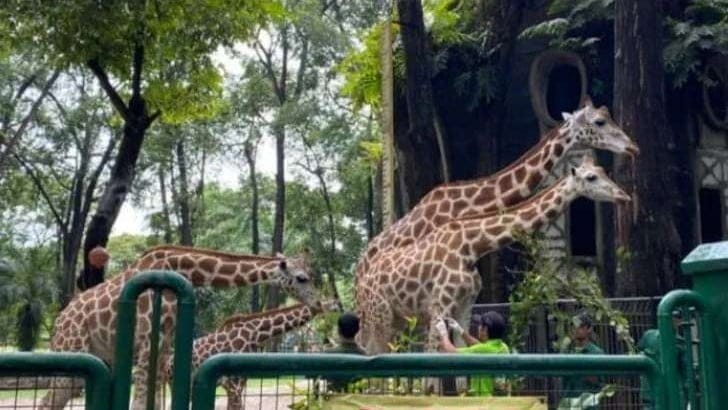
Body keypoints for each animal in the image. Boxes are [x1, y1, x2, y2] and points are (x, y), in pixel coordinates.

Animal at [40, 245, 322, 408]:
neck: (178, 269)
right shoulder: (146, 342)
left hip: (99, 358)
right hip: (71, 353)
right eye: (301, 278)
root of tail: (58, 323)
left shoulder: (164, 346)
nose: (319, 302)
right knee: (49, 402)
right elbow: (140, 404)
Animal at [169, 300, 340, 408]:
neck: (255, 334)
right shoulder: (233, 385)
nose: (338, 306)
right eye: (332, 306)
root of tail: (168, 361)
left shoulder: (238, 384)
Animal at [358, 155, 632, 354]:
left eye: (604, 171)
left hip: (396, 318)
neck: (471, 247)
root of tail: (363, 278)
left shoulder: (465, 304)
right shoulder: (440, 303)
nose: (624, 195)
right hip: (378, 314)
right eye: (591, 177)